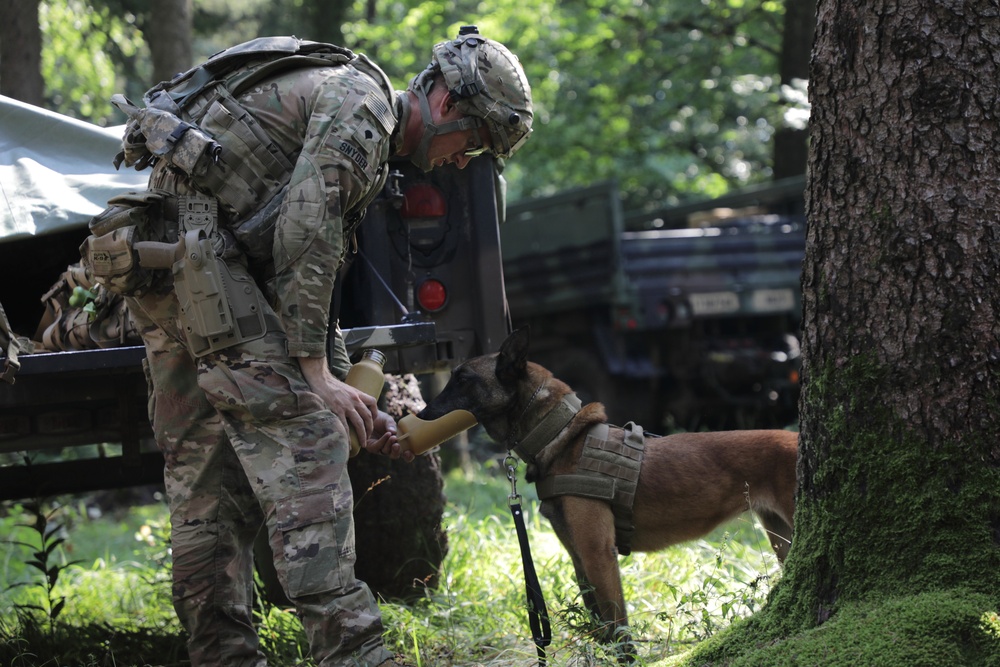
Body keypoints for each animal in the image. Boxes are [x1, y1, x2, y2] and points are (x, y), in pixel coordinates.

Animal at [418, 328, 800, 656]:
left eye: (463, 379)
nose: (420, 413)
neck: (562, 437)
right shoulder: (578, 555)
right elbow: (599, 624)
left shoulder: (598, 552)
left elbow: (619, 628)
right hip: (781, 537)